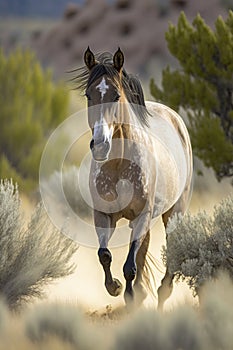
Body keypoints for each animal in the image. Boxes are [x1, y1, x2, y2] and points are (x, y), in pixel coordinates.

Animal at [73, 45, 193, 308]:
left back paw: (161, 294)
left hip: (174, 211)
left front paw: (129, 297)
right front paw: (115, 287)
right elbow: (104, 255)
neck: (119, 165)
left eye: (116, 95)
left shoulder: (141, 216)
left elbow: (130, 266)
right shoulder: (103, 215)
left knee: (171, 249)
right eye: (88, 96)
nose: (100, 146)